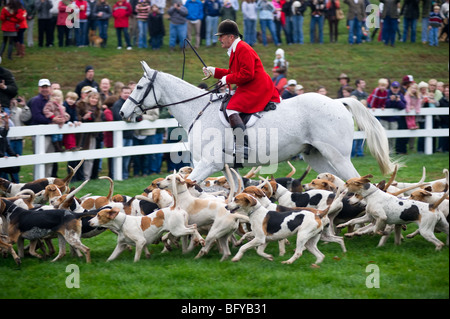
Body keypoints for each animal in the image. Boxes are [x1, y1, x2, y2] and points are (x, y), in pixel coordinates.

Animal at [118, 61, 394, 184]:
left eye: (140, 87)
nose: (121, 112)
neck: (198, 110)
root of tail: (338, 101)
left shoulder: (207, 164)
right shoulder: (224, 167)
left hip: (338, 156)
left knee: (355, 182)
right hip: (316, 156)